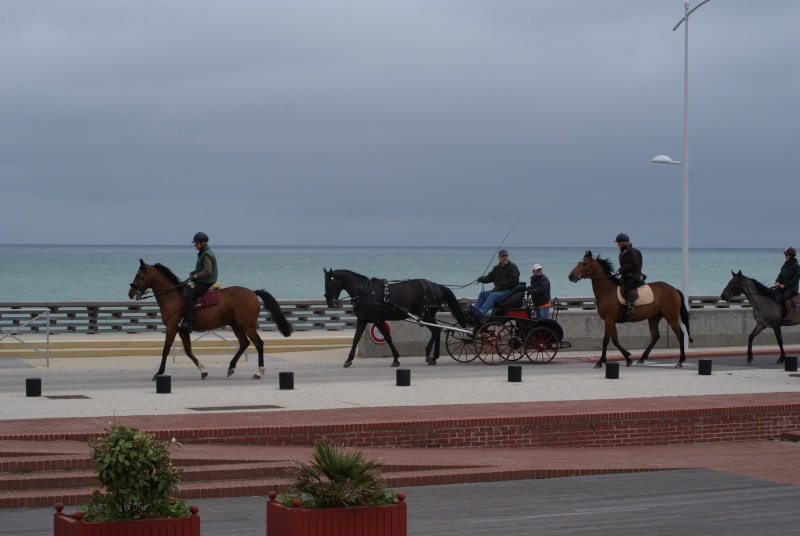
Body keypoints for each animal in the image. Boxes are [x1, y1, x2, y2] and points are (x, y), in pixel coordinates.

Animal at [128, 260, 294, 382]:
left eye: (138, 275)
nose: (130, 293)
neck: (172, 296)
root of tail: (253, 292)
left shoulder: (172, 327)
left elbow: (166, 349)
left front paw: (159, 373)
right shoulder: (182, 329)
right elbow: (188, 350)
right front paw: (203, 370)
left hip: (248, 325)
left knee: (258, 343)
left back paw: (258, 372)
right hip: (236, 325)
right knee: (244, 343)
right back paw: (231, 368)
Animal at [324, 270, 468, 366]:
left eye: (330, 284)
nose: (330, 303)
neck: (365, 292)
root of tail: (436, 286)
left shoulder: (377, 320)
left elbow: (388, 338)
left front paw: (396, 359)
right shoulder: (362, 320)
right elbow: (355, 339)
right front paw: (349, 360)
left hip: (427, 315)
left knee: (436, 330)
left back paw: (434, 356)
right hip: (427, 316)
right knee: (435, 331)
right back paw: (429, 354)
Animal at [564, 251, 692, 368]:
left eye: (584, 263)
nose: (571, 276)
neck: (607, 290)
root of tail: (674, 289)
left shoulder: (609, 319)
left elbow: (606, 340)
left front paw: (600, 362)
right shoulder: (611, 321)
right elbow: (615, 340)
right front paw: (628, 358)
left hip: (671, 316)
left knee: (680, 334)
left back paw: (680, 360)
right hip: (654, 317)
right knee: (655, 336)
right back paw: (642, 358)